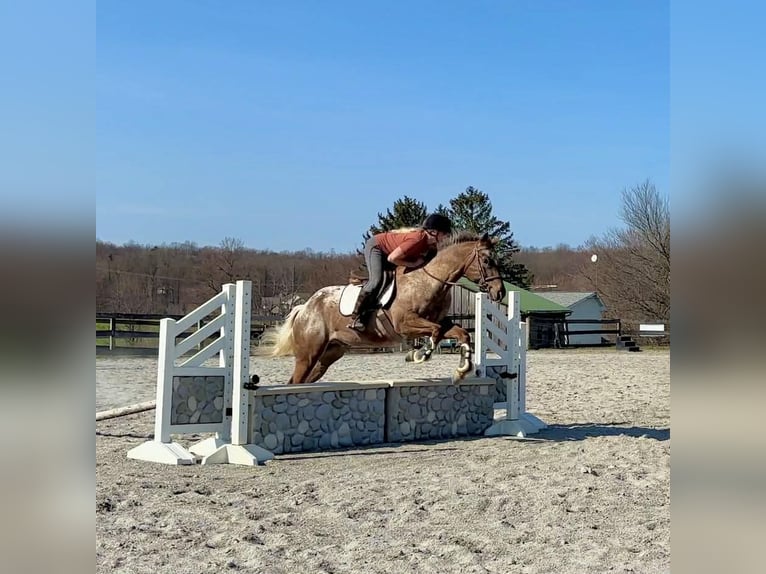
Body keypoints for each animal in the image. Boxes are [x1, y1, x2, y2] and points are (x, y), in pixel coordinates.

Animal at [258, 231, 506, 384]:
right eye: (487, 261)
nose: (499, 293)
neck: (428, 281)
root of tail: (306, 307)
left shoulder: (440, 322)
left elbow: (462, 333)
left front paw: (461, 371)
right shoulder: (405, 325)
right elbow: (434, 333)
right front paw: (419, 354)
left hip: (330, 353)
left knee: (303, 381)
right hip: (308, 353)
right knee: (297, 380)